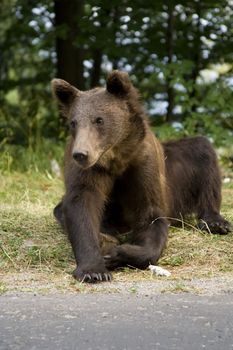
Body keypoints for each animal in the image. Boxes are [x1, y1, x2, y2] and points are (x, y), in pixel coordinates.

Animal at [51, 69, 231, 284]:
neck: (117, 158)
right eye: (73, 122)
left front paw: (118, 254)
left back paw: (215, 222)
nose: (81, 154)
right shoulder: (90, 172)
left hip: (174, 171)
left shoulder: (142, 165)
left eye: (99, 119)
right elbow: (81, 206)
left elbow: (150, 216)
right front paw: (94, 269)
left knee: (202, 149)